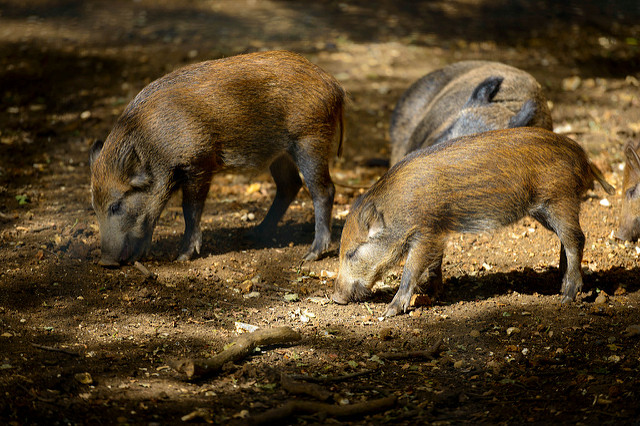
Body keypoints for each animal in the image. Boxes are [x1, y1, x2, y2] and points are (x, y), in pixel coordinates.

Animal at [89, 50, 345, 266]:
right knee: (290, 185)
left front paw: (181, 257)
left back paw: (310, 255)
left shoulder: (199, 162)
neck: (156, 145)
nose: (105, 262)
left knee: (324, 190)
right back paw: (252, 235)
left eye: (116, 205)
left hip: (310, 140)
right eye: (94, 206)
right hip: (280, 154)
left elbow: (190, 209)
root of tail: (335, 86)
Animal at [332, 127, 615, 317]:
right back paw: (559, 286)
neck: (397, 209)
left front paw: (390, 311)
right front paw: (432, 294)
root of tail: (583, 156)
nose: (335, 298)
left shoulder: (426, 231)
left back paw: (567, 297)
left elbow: (411, 269)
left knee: (576, 239)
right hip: (543, 210)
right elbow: (435, 264)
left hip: (559, 200)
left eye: (352, 253)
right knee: (566, 241)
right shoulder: (438, 232)